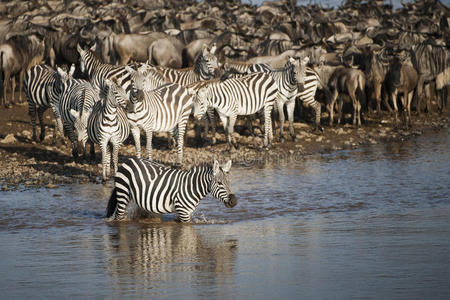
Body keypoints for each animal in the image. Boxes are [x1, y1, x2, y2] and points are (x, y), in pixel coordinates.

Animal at [107, 158, 237, 221]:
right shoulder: (183, 213)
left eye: (229, 182)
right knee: (119, 216)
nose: (234, 201)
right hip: (123, 194)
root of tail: (128, 160)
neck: (191, 187)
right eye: (219, 183)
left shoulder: (185, 213)